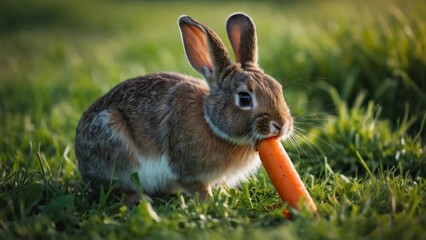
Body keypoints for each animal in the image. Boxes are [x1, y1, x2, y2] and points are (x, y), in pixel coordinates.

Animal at [75, 12, 292, 205]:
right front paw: (211, 202)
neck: (210, 121)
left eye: (278, 88)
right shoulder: (188, 171)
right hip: (114, 144)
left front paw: (224, 196)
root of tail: (81, 160)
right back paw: (138, 199)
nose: (281, 125)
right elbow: (197, 187)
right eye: (245, 98)